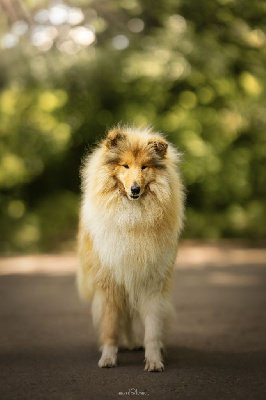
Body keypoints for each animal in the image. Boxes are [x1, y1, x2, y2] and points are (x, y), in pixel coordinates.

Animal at [76, 125, 185, 372]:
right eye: (125, 166)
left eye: (144, 166)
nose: (135, 189)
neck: (133, 217)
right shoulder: (109, 284)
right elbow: (110, 327)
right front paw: (108, 358)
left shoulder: (152, 283)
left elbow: (152, 329)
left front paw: (153, 361)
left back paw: (134, 343)